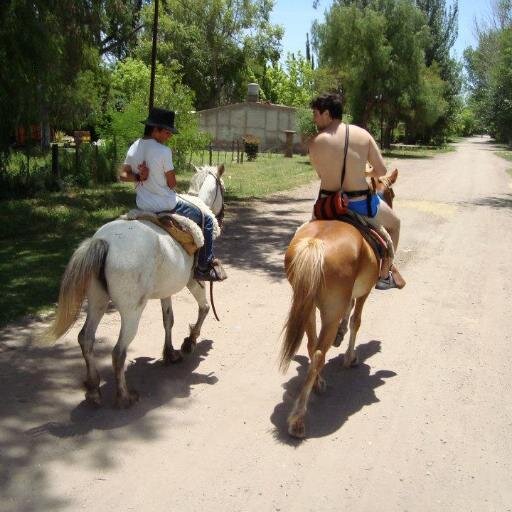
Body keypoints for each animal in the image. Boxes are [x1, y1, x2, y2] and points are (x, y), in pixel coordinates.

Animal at [46, 164, 226, 408]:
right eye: (223, 189)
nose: (222, 215)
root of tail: (104, 242)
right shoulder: (191, 279)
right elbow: (205, 307)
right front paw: (189, 343)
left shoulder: (167, 289)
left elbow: (168, 319)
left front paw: (170, 353)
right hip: (132, 312)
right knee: (118, 352)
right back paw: (124, 396)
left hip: (97, 301)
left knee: (86, 338)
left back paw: (93, 388)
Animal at [278, 170, 398, 438]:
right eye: (392, 194)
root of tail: (315, 244)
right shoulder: (364, 292)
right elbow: (356, 320)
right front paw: (349, 356)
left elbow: (349, 312)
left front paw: (340, 336)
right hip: (328, 309)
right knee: (318, 352)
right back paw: (298, 418)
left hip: (306, 304)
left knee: (312, 345)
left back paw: (319, 381)